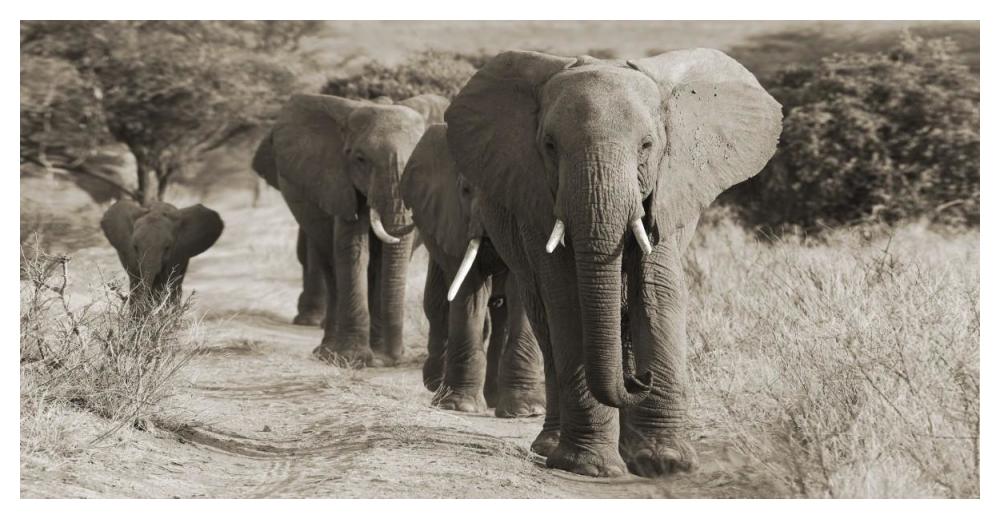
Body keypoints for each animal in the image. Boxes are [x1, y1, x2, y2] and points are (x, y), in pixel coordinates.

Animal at [261, 92, 449, 366]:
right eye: (360, 160)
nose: (396, 358)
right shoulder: (340, 183)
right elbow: (354, 251)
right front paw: (354, 359)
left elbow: (387, 260)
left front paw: (380, 358)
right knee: (331, 266)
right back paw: (327, 353)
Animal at [401, 124, 545, 417]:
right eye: (466, 190)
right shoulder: (452, 218)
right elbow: (469, 291)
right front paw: (459, 406)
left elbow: (521, 291)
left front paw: (527, 411)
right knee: (437, 303)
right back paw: (438, 385)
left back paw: (493, 398)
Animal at [444, 49, 781, 477]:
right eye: (549, 146)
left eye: (648, 146)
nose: (641, 379)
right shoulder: (536, 199)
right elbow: (568, 298)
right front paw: (590, 467)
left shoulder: (666, 192)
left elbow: (657, 292)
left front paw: (665, 463)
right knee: (545, 322)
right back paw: (552, 447)